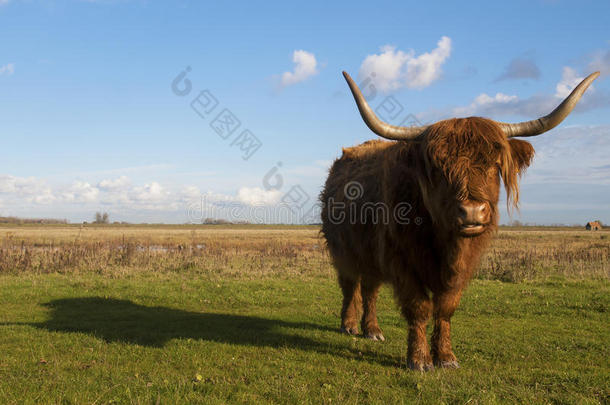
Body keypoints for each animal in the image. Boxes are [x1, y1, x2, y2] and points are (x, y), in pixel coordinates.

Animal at [320, 68, 596, 370]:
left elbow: (445, 308)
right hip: (343, 250)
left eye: (495, 165)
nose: (472, 211)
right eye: (438, 168)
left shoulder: (462, 267)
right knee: (350, 285)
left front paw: (446, 357)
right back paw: (349, 325)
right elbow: (419, 307)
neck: (445, 242)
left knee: (370, 288)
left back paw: (372, 329)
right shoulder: (402, 261)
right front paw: (419, 360)